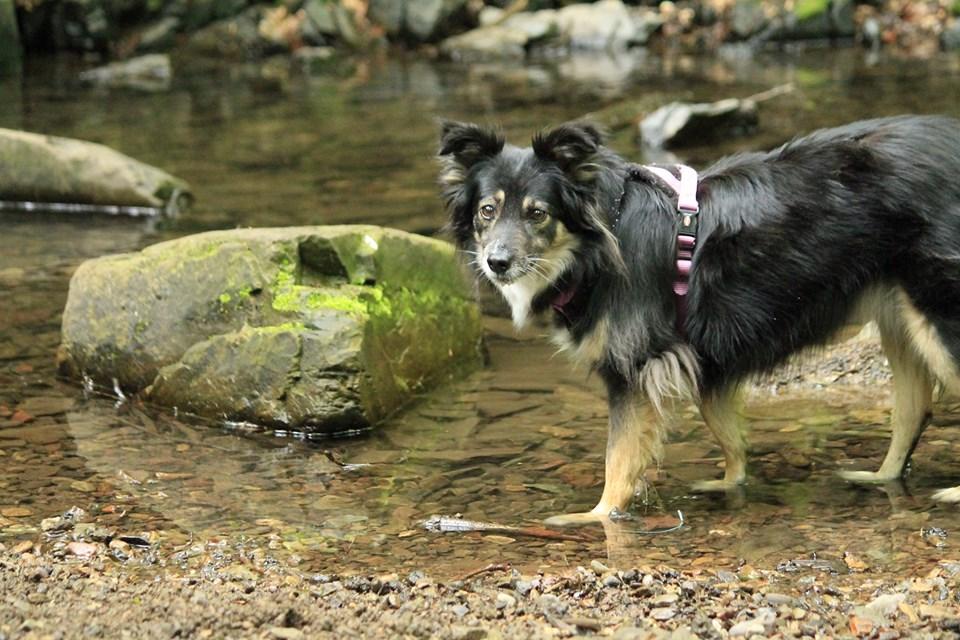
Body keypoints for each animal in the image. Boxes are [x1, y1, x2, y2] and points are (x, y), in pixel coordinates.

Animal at [438, 115, 960, 524]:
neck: (604, 236)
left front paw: (597, 517)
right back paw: (880, 477)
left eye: (538, 214)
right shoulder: (706, 361)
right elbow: (726, 432)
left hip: (939, 317)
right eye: (487, 211)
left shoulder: (634, 366)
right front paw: (731, 483)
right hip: (900, 317)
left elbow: (618, 457)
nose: (496, 263)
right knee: (914, 408)